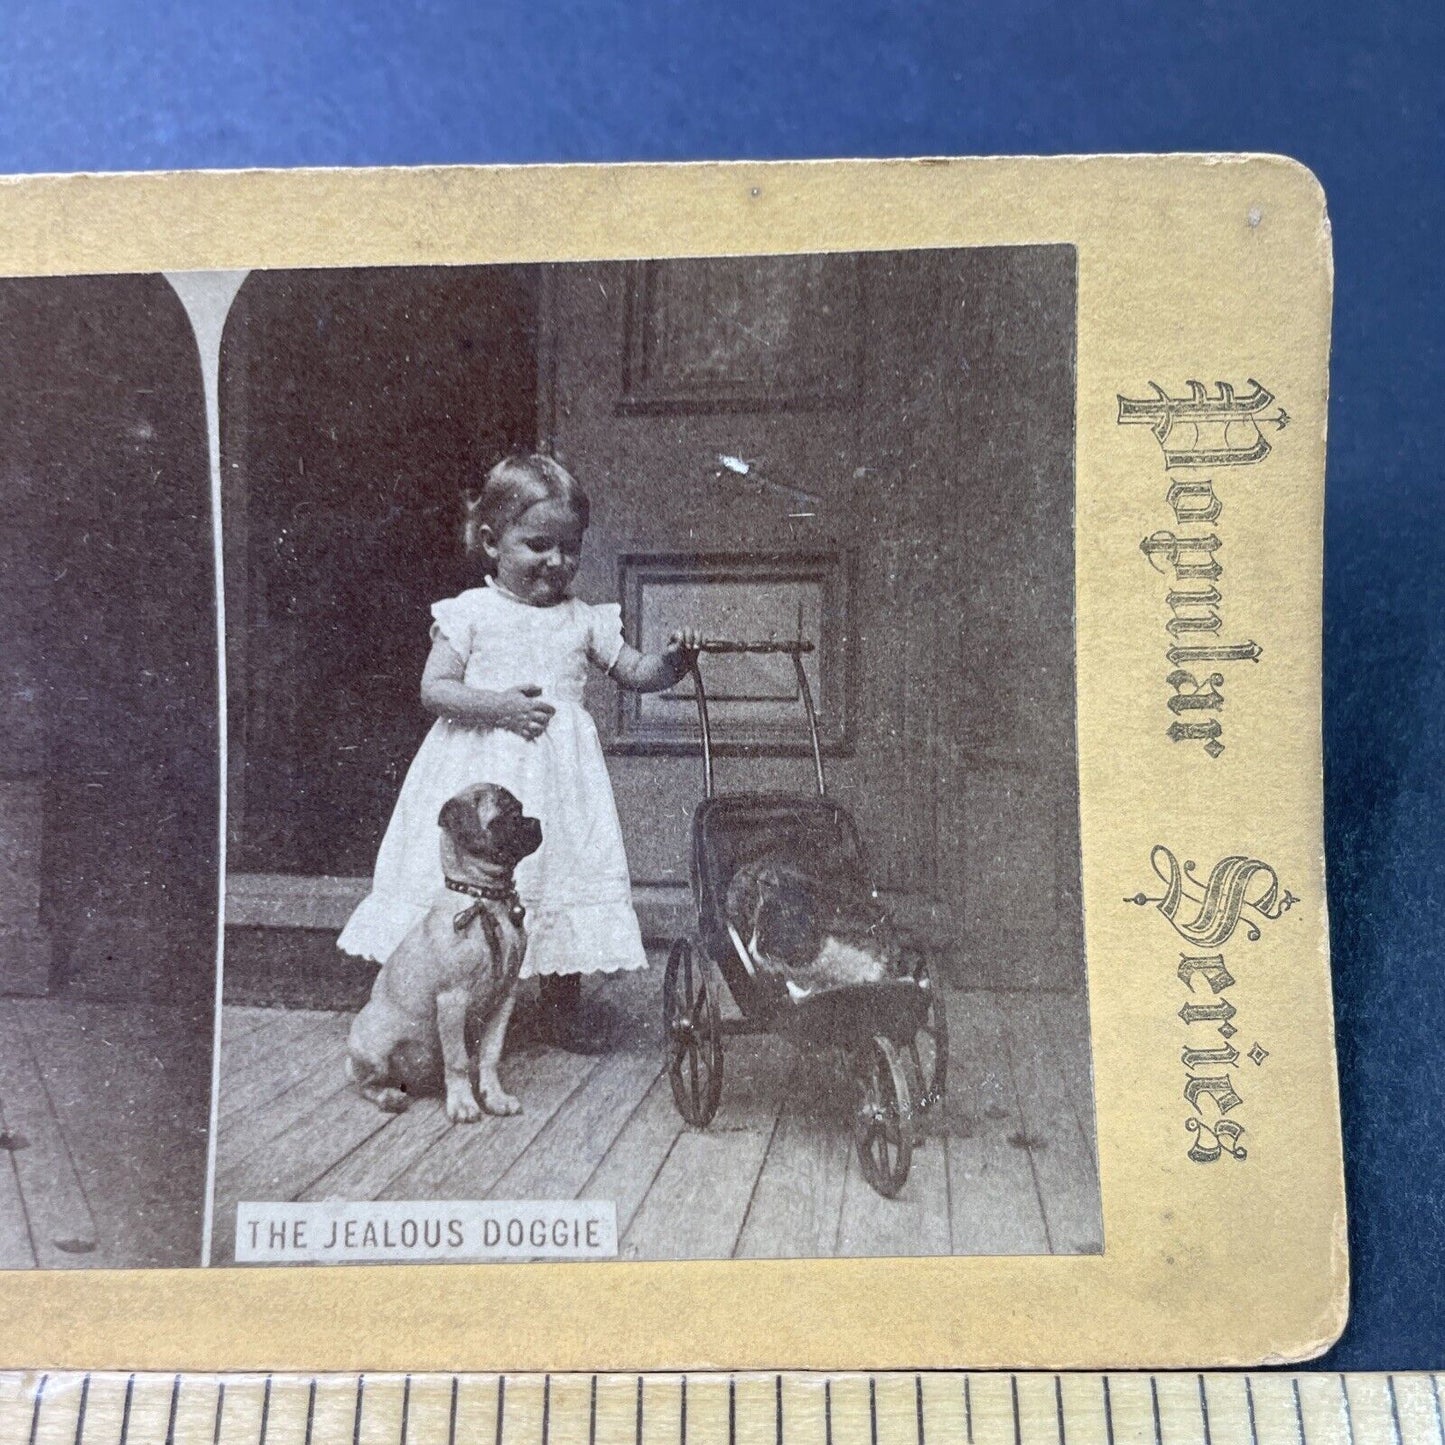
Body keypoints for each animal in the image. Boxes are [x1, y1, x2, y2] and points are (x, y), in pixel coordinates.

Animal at [348, 786, 543, 1121]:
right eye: (504, 818)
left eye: (521, 809)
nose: (537, 822)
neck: (485, 898)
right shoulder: (453, 1000)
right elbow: (458, 1061)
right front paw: (463, 1103)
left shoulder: (504, 999)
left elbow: (490, 1055)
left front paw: (494, 1097)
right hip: (374, 1046)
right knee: (365, 1084)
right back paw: (389, 1097)